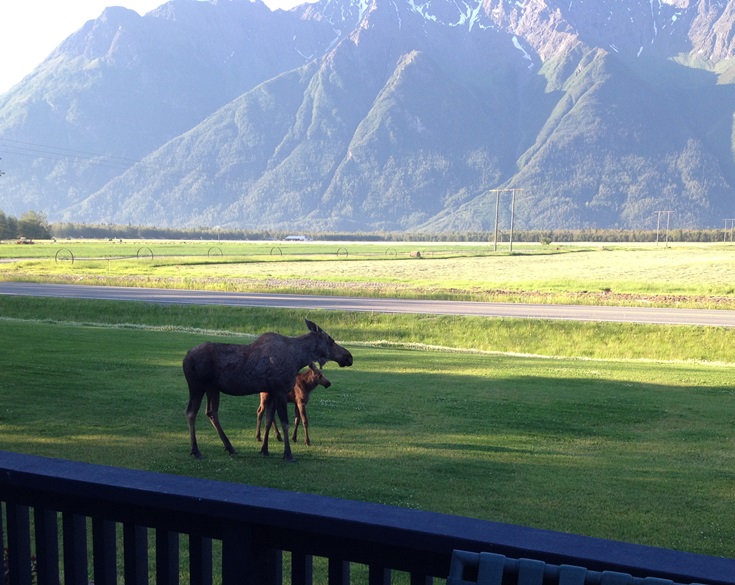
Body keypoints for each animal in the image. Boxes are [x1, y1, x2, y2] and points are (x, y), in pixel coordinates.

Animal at [183, 319, 352, 462]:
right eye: (331, 340)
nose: (349, 357)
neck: (298, 358)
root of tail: (185, 357)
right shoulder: (280, 389)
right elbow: (284, 422)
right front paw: (288, 454)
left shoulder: (270, 391)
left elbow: (268, 420)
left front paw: (265, 449)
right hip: (196, 385)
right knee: (191, 412)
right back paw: (196, 450)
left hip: (213, 388)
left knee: (211, 412)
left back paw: (230, 447)